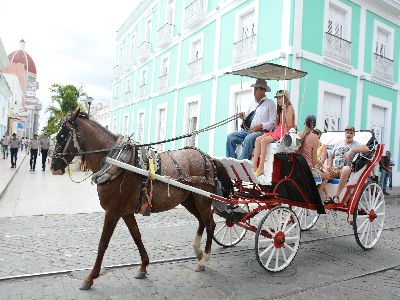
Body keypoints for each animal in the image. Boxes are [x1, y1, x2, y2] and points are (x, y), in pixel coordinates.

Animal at [50, 109, 233, 290]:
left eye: (61, 136)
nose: (53, 166)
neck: (115, 162)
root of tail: (208, 158)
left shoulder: (113, 212)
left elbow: (103, 243)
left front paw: (90, 277)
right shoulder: (125, 212)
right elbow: (136, 236)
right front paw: (144, 266)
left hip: (202, 199)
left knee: (210, 224)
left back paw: (204, 259)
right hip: (189, 200)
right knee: (202, 222)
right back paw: (198, 252)